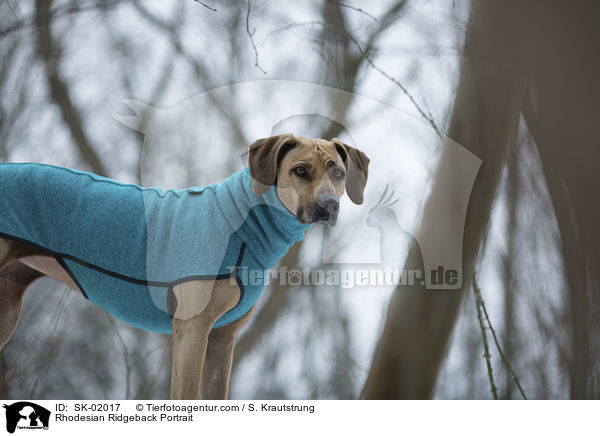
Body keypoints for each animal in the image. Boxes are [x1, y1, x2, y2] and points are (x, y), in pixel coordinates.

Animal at [0, 135, 370, 400]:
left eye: (338, 173)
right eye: (301, 170)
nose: (329, 206)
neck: (242, 224)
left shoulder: (223, 340)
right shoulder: (192, 329)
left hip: (7, 309)